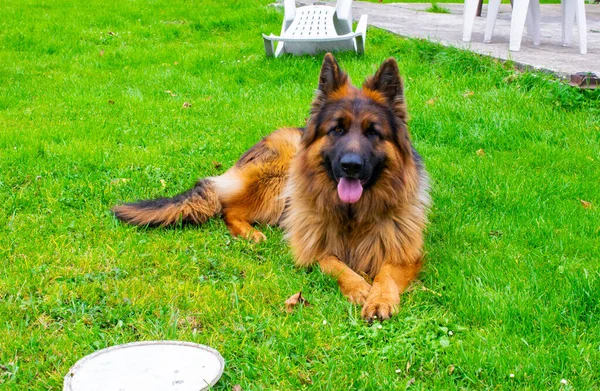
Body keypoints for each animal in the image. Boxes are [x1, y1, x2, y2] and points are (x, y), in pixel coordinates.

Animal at [112, 52, 428, 322]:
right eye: (337, 129)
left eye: (373, 132)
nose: (351, 165)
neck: (353, 215)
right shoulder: (310, 245)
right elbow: (336, 264)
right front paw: (359, 286)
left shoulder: (405, 251)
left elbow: (387, 273)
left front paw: (379, 298)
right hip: (276, 178)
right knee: (228, 209)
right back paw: (252, 234)